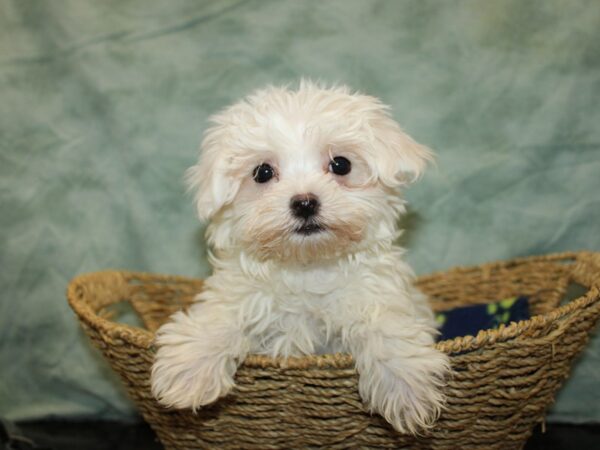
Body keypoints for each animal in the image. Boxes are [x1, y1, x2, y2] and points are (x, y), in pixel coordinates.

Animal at [152, 81, 448, 436]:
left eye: (341, 165)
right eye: (263, 172)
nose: (305, 203)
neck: (307, 267)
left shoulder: (379, 295)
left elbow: (387, 326)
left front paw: (405, 386)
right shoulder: (240, 294)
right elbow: (221, 316)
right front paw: (189, 370)